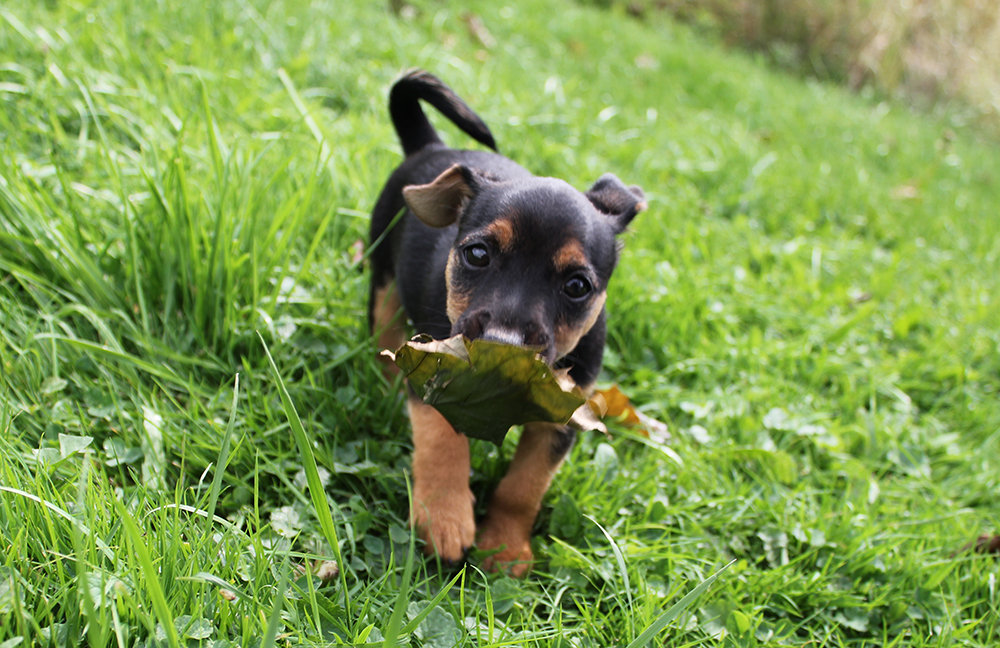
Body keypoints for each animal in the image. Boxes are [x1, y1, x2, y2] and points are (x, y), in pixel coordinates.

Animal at [372, 69, 644, 576]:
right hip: (381, 275)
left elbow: (525, 486)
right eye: (478, 254)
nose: (502, 345)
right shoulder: (436, 367)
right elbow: (441, 442)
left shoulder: (563, 415)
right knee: (383, 332)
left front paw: (505, 548)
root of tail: (432, 147)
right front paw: (445, 519)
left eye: (577, 286)